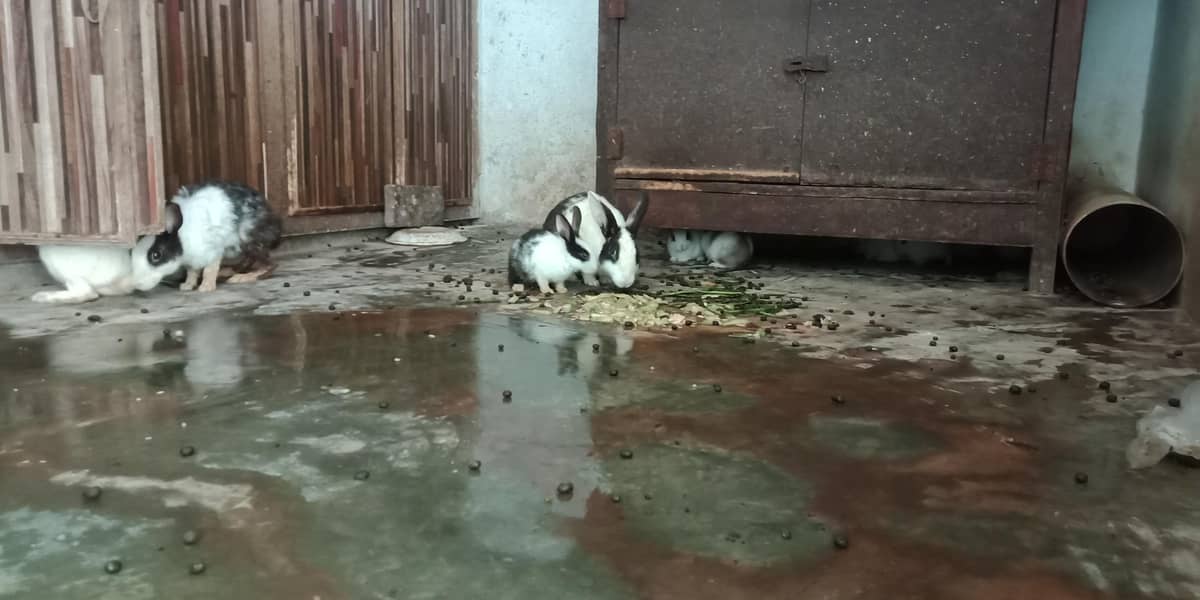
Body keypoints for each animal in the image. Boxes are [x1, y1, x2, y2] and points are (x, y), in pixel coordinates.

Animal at [148, 181, 282, 293]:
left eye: (157, 254)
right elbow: (192, 271)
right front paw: (187, 285)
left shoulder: (213, 249)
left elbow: (209, 269)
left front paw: (206, 287)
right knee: (249, 260)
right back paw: (228, 271)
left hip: (247, 237)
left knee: (270, 264)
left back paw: (241, 278)